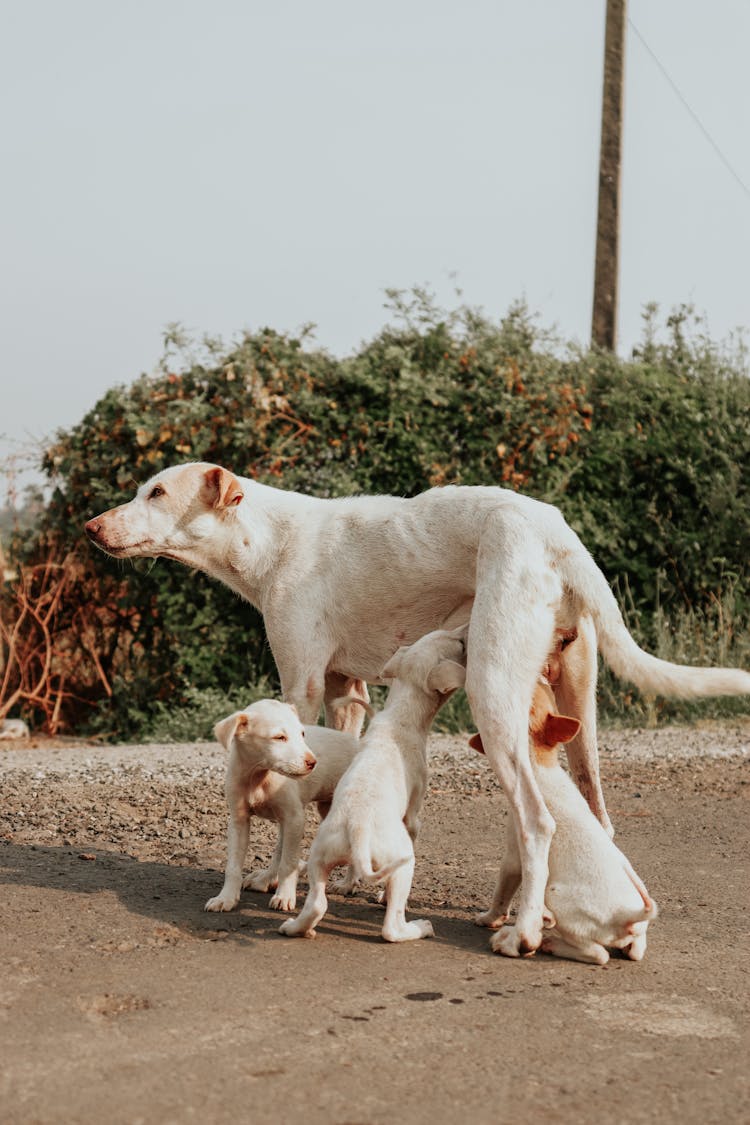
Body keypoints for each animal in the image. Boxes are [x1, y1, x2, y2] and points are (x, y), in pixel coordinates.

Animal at [203, 693, 359, 913]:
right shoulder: (238, 821)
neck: (259, 777)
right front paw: (225, 898)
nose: (313, 762)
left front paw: (285, 896)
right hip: (323, 809)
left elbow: (288, 863)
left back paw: (348, 884)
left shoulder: (294, 818)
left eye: (302, 734)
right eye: (279, 737)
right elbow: (233, 865)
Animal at [278, 630, 465, 945]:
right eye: (453, 642)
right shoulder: (413, 815)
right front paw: (382, 896)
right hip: (402, 861)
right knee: (391, 928)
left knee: (317, 904)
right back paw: (420, 927)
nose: (465, 633)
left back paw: (294, 927)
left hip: (320, 855)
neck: (400, 713)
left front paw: (347, 885)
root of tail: (358, 827)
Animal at [474, 679, 656, 963]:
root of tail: (629, 916)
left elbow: (504, 885)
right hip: (637, 937)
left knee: (598, 954)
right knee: (635, 951)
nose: (542, 676)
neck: (539, 761)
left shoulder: (515, 850)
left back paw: (551, 944)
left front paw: (488, 918)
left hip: (559, 899)